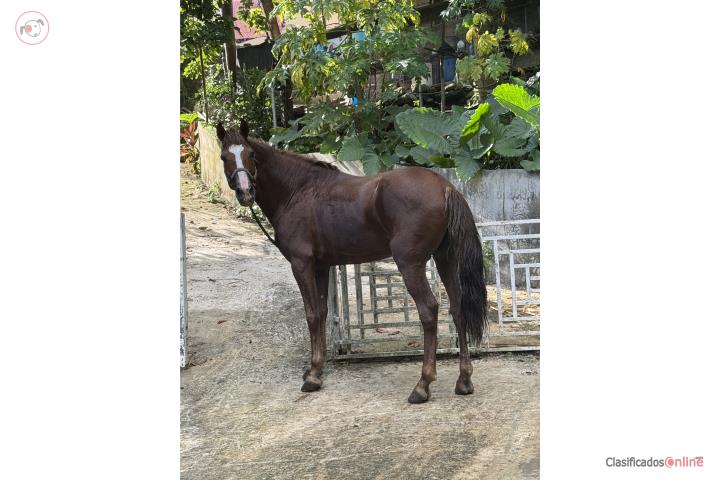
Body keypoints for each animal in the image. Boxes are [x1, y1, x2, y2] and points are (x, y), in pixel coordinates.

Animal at [216, 120, 487, 403]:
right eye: (225, 157)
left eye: (250, 154)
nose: (245, 192)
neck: (298, 191)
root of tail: (446, 187)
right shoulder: (321, 267)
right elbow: (322, 312)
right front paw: (316, 370)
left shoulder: (301, 264)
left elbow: (312, 314)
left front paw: (312, 376)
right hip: (445, 259)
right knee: (457, 309)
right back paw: (464, 380)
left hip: (410, 265)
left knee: (429, 310)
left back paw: (422, 385)